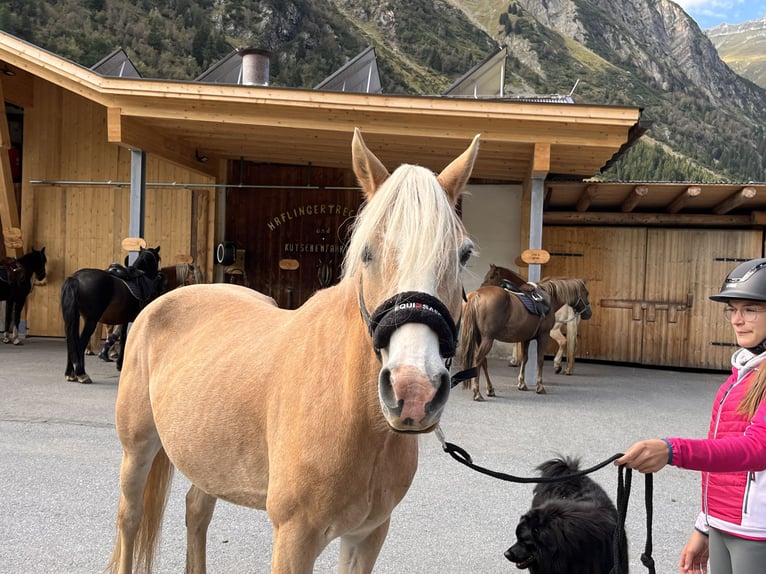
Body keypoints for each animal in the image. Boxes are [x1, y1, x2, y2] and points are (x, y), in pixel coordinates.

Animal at [60, 246, 164, 384]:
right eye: (158, 259)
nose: (160, 277)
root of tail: (75, 278)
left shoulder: (125, 319)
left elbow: (124, 338)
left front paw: (120, 364)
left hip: (75, 318)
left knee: (71, 342)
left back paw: (70, 373)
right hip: (91, 320)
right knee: (80, 343)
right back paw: (81, 373)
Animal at [108, 129, 480, 574]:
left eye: (464, 254)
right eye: (367, 252)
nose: (413, 391)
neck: (353, 414)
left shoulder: (368, 535)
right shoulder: (294, 538)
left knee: (196, 511)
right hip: (137, 449)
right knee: (130, 519)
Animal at [460, 274, 592, 400]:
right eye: (586, 293)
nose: (588, 313)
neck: (548, 299)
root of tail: (476, 295)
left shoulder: (526, 338)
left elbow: (525, 359)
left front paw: (522, 384)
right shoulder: (543, 335)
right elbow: (540, 360)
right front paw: (539, 386)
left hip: (479, 338)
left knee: (483, 361)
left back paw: (490, 389)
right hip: (488, 339)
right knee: (478, 360)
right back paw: (477, 393)